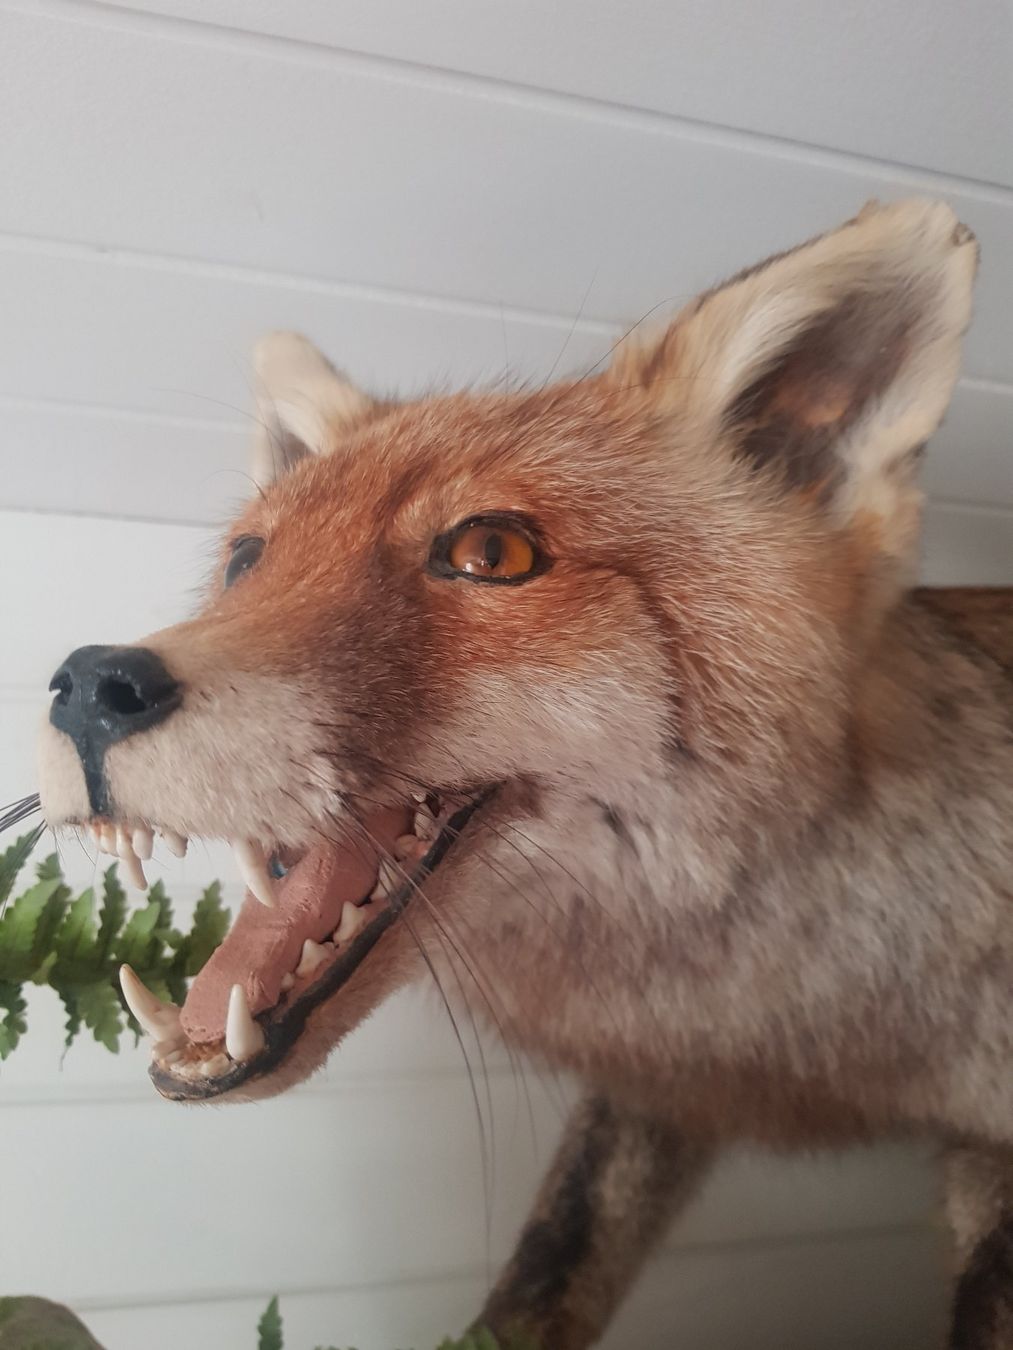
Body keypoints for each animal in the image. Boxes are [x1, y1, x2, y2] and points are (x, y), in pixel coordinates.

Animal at [21, 198, 1011, 1349]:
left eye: (490, 553)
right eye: (244, 562)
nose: (88, 685)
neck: (770, 1037)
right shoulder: (644, 1102)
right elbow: (537, 1280)